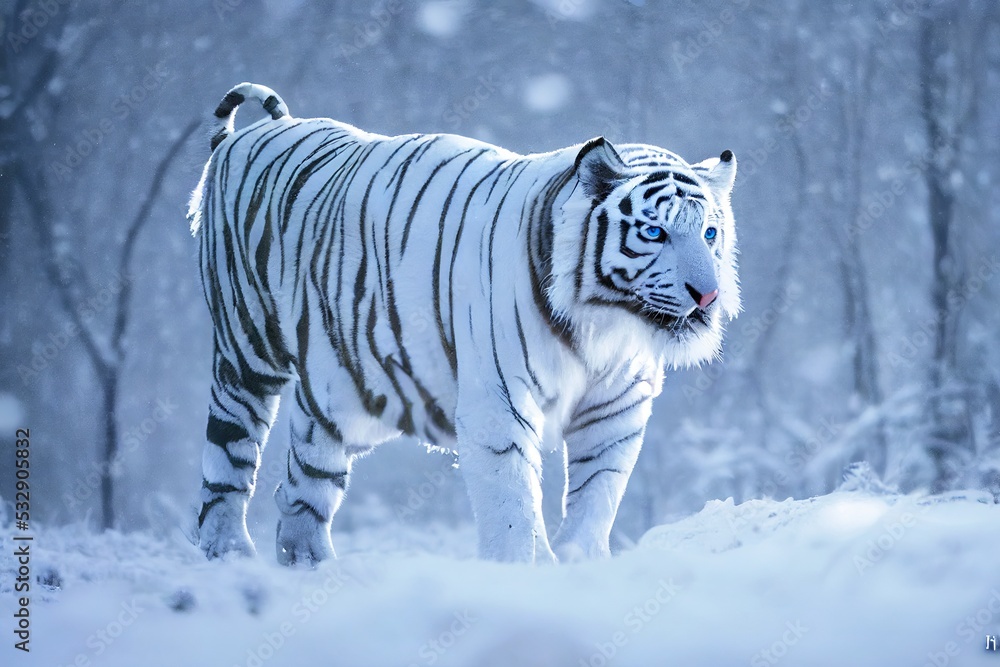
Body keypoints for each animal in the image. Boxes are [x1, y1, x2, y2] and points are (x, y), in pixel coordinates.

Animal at [188, 82, 739, 566]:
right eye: (655, 232)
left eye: (710, 233)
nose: (707, 295)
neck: (606, 329)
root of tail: (250, 134)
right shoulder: (500, 403)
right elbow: (512, 503)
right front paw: (521, 571)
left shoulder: (616, 407)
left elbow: (597, 495)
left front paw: (579, 563)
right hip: (248, 350)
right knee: (231, 457)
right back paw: (231, 554)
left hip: (352, 393)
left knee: (302, 478)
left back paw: (308, 564)